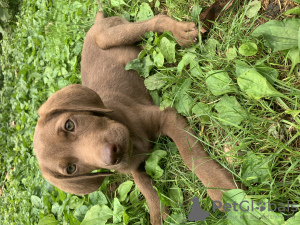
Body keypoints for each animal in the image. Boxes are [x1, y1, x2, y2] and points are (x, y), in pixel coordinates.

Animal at [33, 11, 239, 225]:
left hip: (108, 36)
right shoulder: (134, 166)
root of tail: (97, 22)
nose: (112, 155)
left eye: (69, 125)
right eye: (71, 169)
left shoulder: (166, 115)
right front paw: (159, 214)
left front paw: (221, 189)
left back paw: (180, 32)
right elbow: (145, 187)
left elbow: (190, 155)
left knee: (154, 20)